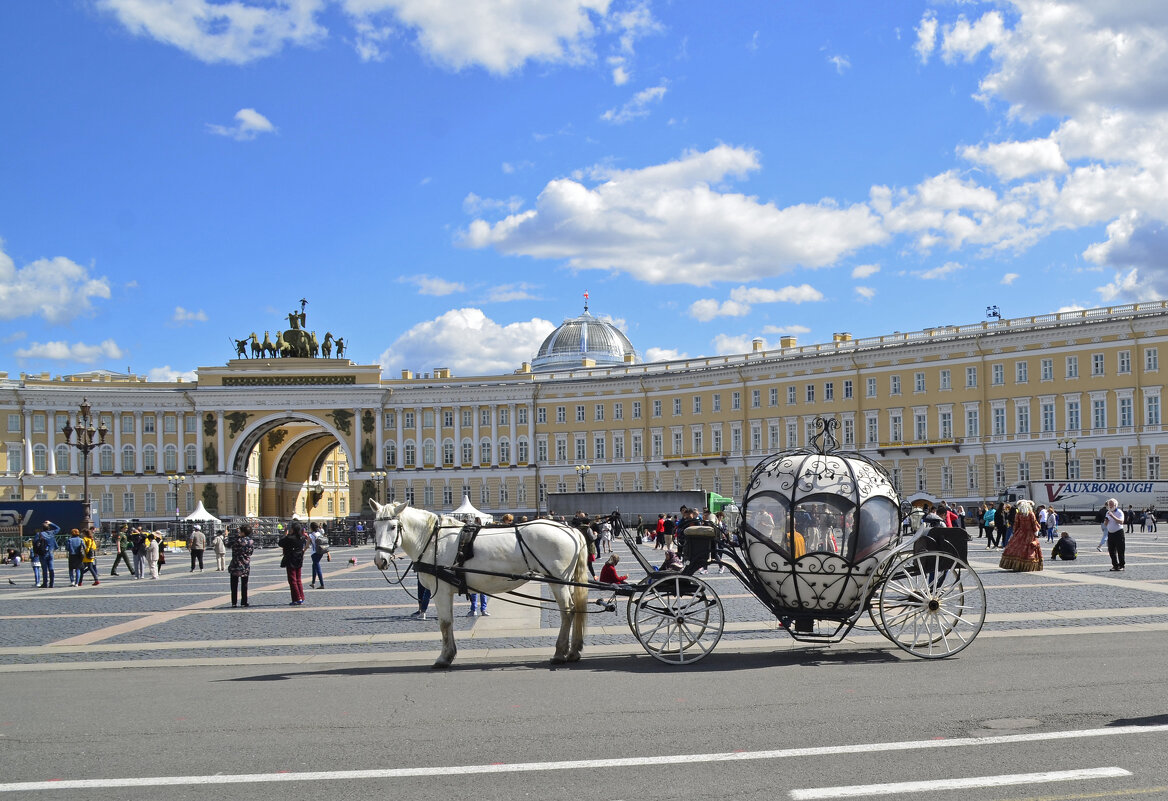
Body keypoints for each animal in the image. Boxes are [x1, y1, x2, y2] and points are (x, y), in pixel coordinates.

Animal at [371, 502, 593, 672]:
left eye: (393, 527)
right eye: (374, 526)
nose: (380, 561)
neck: (433, 541)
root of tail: (570, 529)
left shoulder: (441, 591)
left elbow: (445, 624)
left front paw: (444, 658)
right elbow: (448, 623)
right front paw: (449, 655)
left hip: (557, 580)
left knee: (567, 611)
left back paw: (560, 653)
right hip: (565, 582)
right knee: (575, 609)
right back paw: (573, 651)